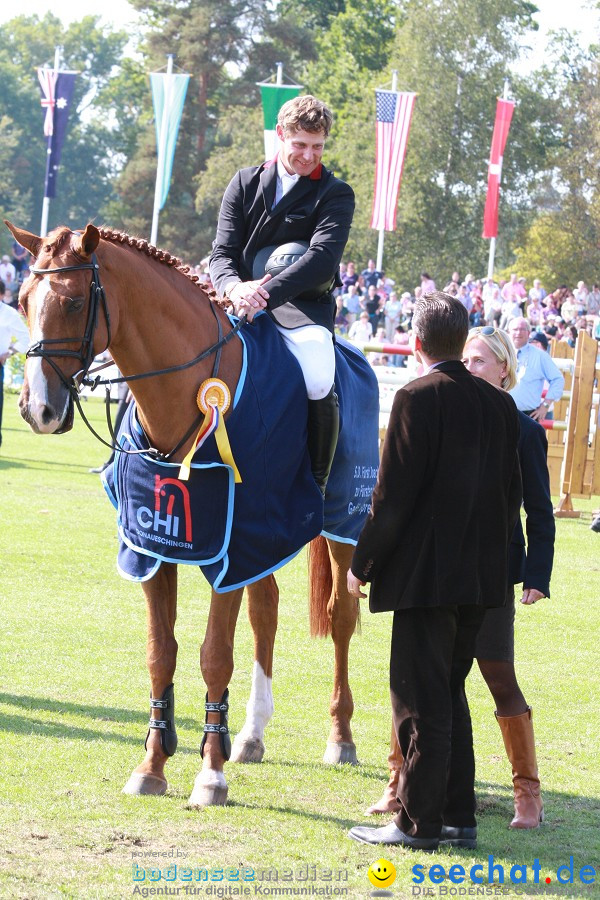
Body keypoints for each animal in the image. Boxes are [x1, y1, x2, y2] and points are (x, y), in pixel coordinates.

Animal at [8, 220, 360, 808]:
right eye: (21, 301)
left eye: (75, 302)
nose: (38, 410)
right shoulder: (156, 547)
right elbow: (161, 652)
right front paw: (153, 764)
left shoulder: (231, 547)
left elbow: (215, 654)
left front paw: (210, 776)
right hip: (266, 541)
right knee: (266, 611)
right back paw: (251, 735)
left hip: (343, 527)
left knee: (341, 617)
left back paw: (340, 738)